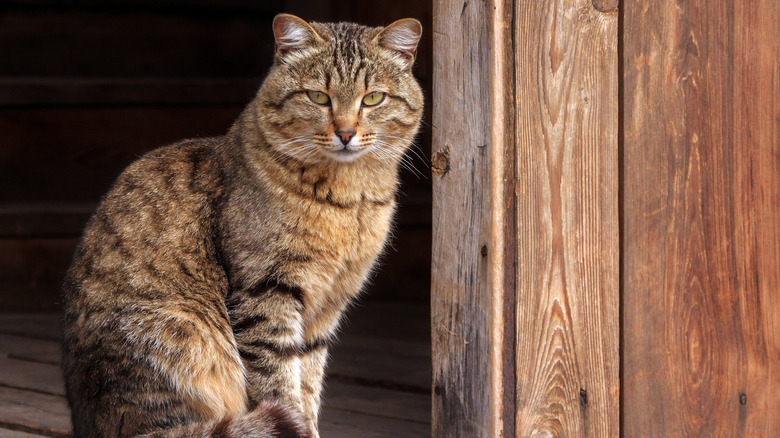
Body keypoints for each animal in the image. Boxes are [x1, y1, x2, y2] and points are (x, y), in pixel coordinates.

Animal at [61, 13, 424, 438]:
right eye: (318, 97)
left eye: (372, 99)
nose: (346, 133)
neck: (349, 200)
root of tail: (90, 424)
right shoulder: (266, 292)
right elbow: (279, 382)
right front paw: (295, 423)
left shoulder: (327, 306)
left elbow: (308, 384)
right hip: (182, 333)